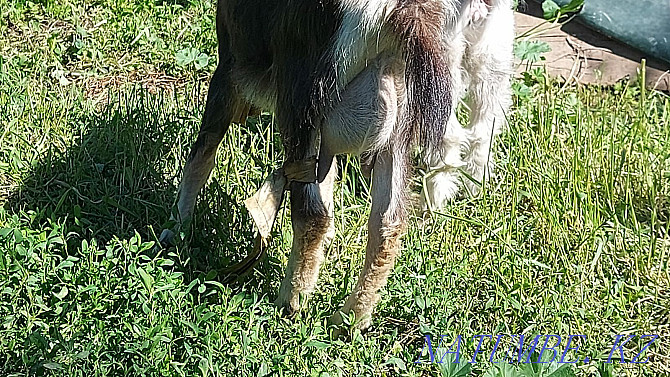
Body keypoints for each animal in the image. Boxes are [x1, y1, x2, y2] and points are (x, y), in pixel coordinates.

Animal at [161, 0, 516, 330]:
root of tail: (403, 12)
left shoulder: (229, 68)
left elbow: (202, 155)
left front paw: (176, 231)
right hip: (404, 115)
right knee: (389, 221)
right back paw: (350, 319)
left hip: (303, 97)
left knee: (311, 210)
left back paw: (290, 302)